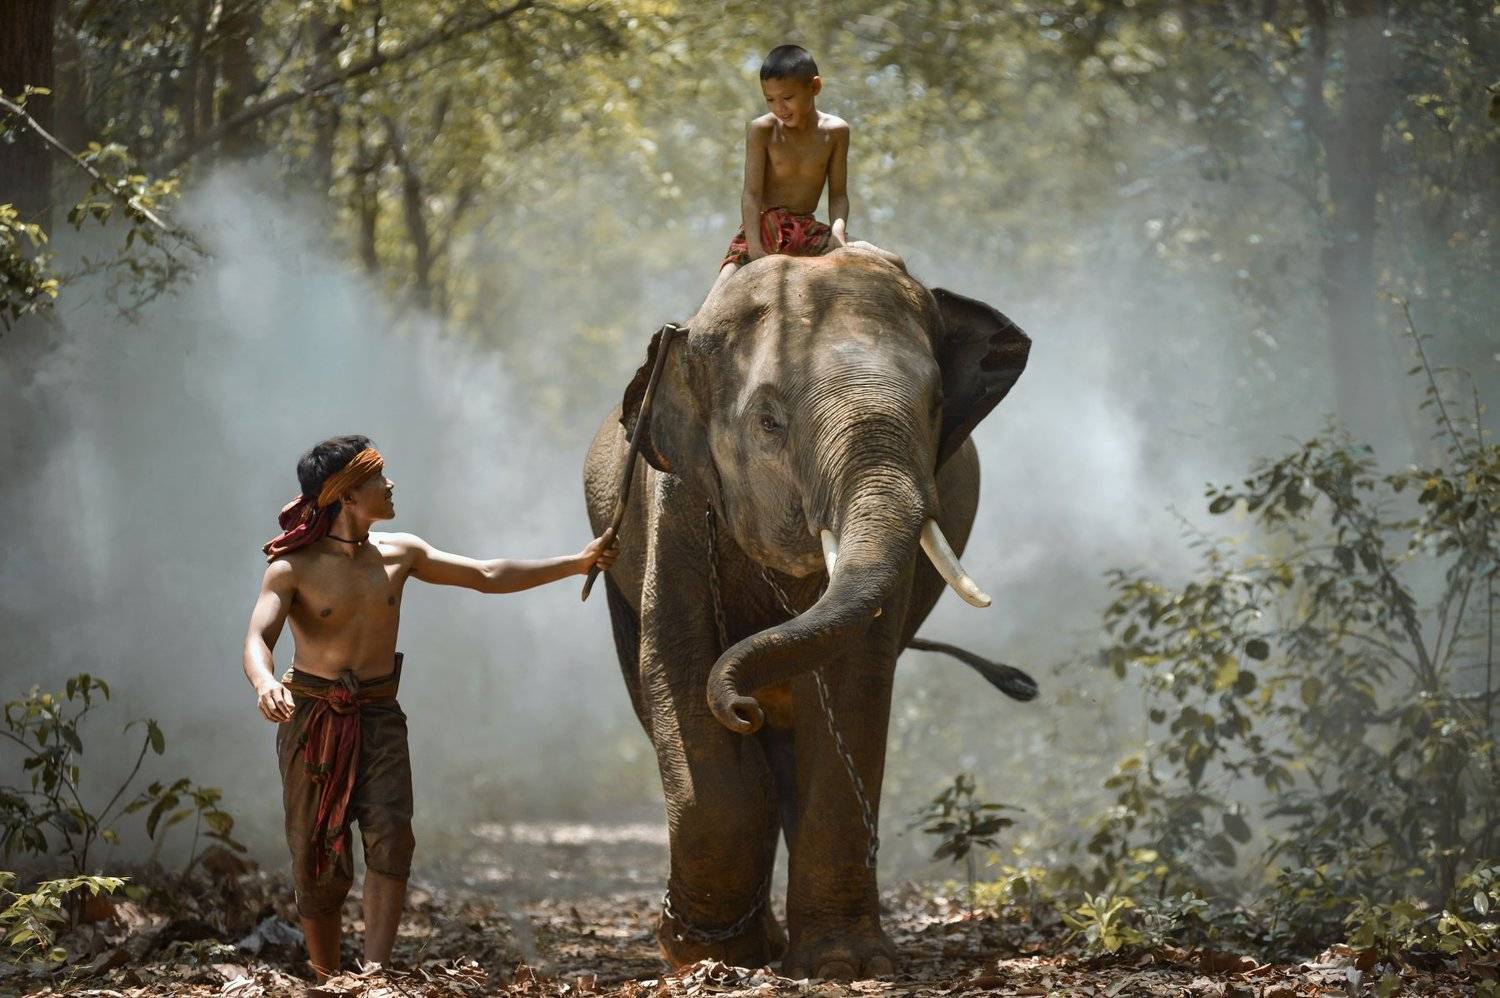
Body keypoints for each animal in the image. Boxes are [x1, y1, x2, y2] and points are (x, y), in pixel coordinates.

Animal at [583, 246, 1031, 979]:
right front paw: (704, 952)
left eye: (936, 406)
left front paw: (845, 965)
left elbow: (854, 683)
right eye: (770, 422)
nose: (741, 704)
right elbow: (677, 672)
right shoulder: (671, 508)